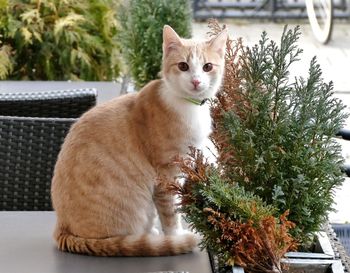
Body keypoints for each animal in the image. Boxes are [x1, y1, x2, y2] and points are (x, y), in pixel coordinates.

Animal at [51, 25, 227, 255]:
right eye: (183, 66)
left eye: (207, 67)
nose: (196, 81)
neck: (189, 107)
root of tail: (62, 228)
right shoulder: (166, 174)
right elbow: (171, 212)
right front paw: (176, 237)